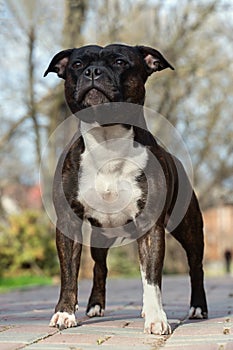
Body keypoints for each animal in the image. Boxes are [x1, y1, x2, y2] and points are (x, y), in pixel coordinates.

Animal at [43, 43, 208, 334]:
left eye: (120, 62)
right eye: (77, 65)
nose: (93, 71)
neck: (108, 141)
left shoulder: (151, 226)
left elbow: (152, 277)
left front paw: (156, 318)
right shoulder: (68, 222)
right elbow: (69, 273)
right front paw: (64, 313)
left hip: (189, 229)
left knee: (194, 265)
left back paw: (197, 307)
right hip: (100, 235)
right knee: (100, 267)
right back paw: (95, 306)